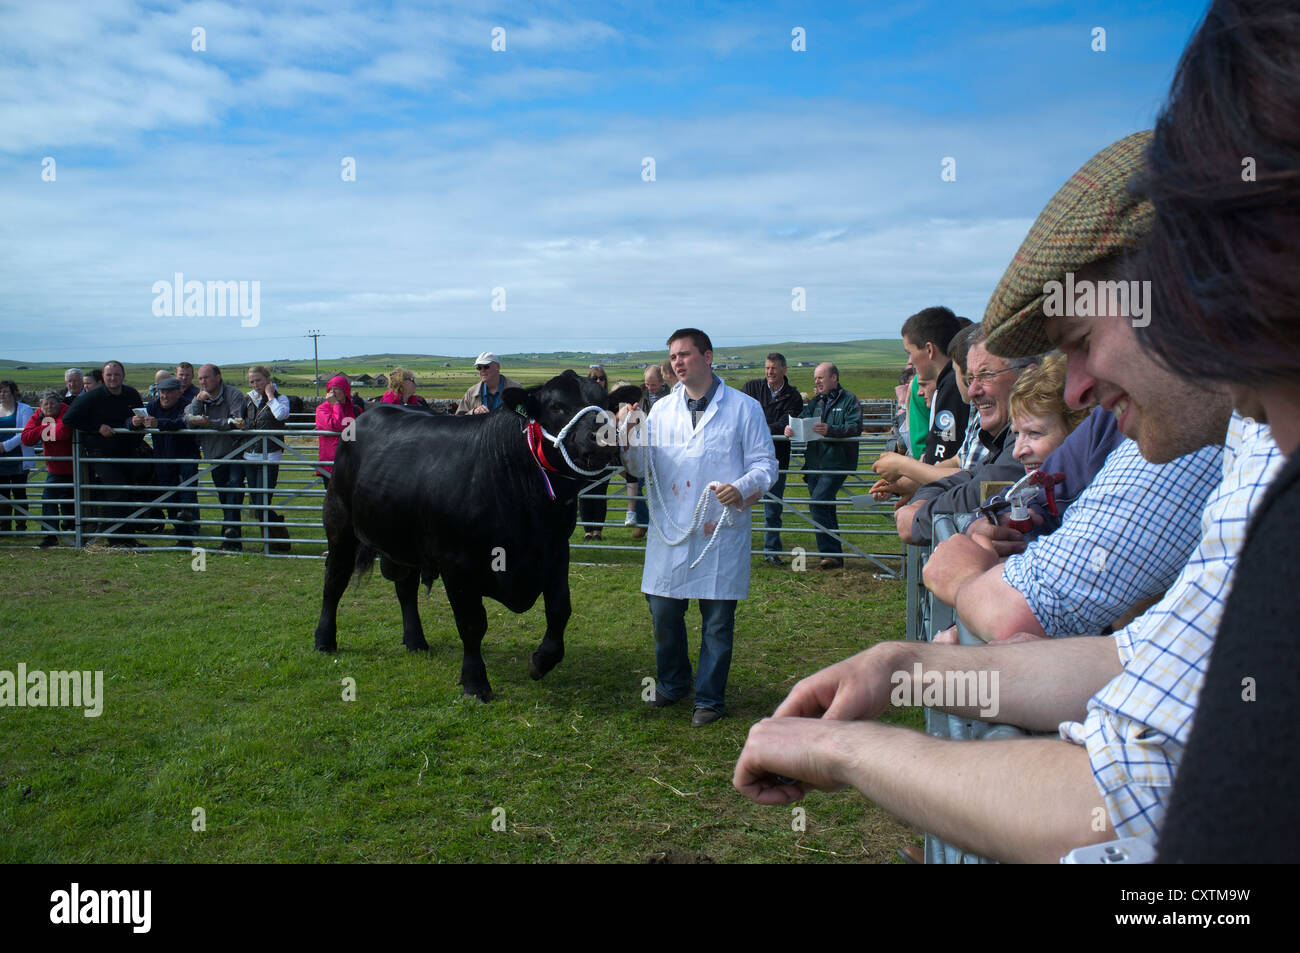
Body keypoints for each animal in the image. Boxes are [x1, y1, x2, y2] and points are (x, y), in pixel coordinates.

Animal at [310, 371, 644, 696]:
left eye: (607, 405)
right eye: (557, 406)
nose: (603, 437)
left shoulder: (556, 551)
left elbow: (560, 610)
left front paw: (541, 661)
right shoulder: (458, 564)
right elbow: (472, 623)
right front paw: (475, 682)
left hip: (405, 541)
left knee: (405, 589)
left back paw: (415, 640)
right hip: (340, 527)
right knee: (334, 581)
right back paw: (324, 640)